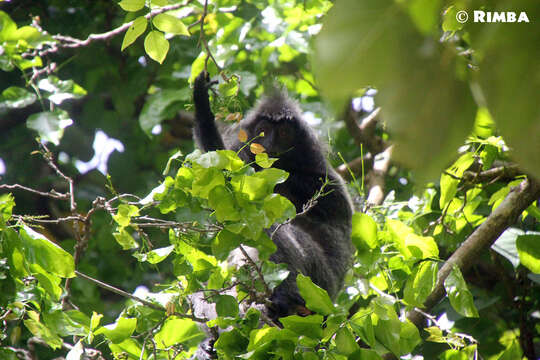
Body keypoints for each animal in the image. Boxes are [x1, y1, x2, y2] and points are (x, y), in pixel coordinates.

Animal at [192, 71, 352, 320]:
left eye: (284, 133)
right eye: (264, 131)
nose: (269, 145)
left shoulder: (321, 174)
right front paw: (201, 103)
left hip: (318, 283)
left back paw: (286, 300)